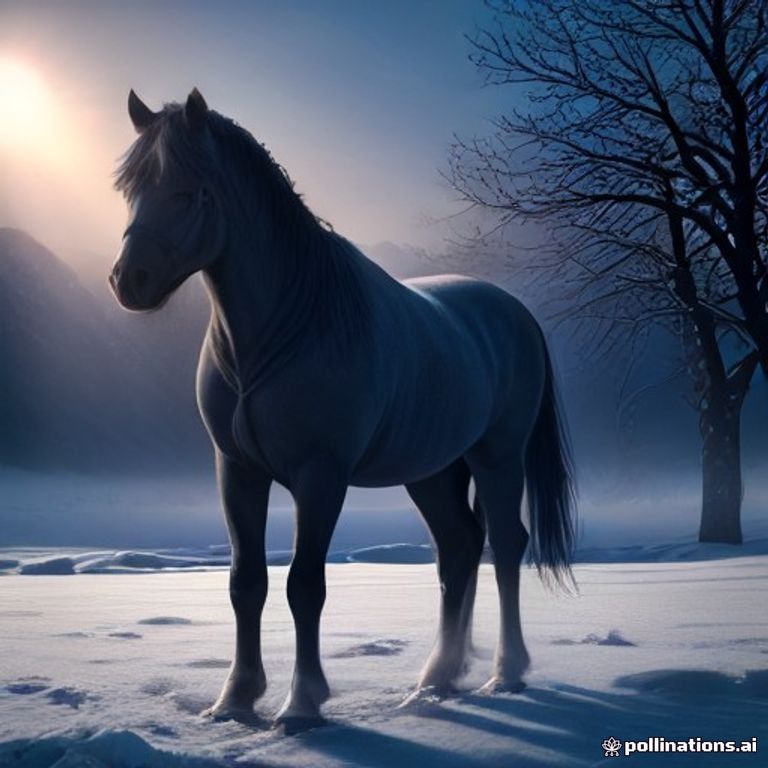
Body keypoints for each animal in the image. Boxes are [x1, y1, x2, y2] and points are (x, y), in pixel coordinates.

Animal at [109, 88, 576, 729]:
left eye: (189, 190)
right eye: (131, 189)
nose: (129, 280)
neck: (282, 331)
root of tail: (514, 311)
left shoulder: (320, 476)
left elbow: (305, 585)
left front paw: (301, 703)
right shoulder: (236, 471)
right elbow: (245, 582)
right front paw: (234, 699)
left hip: (497, 456)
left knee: (506, 545)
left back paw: (505, 673)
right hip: (433, 471)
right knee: (458, 548)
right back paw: (437, 678)